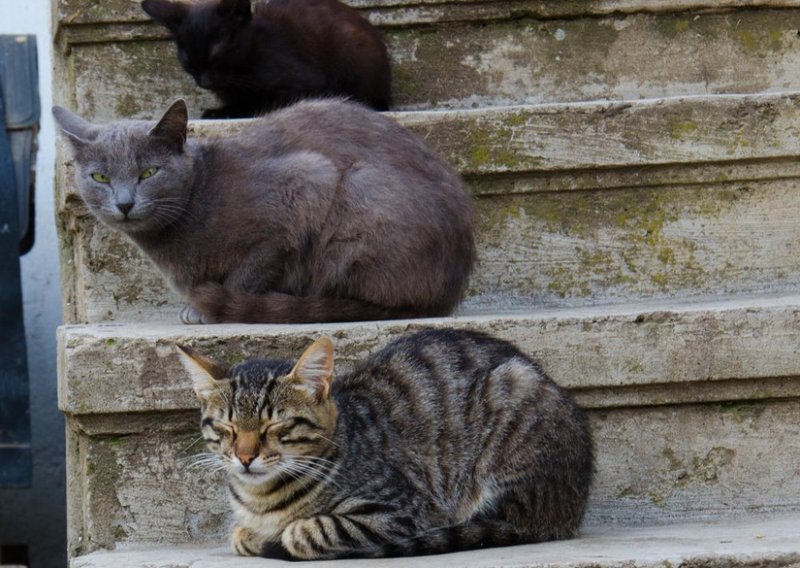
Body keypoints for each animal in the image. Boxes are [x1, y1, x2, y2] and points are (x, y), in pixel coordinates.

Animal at [53, 95, 476, 322]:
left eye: (148, 172)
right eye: (100, 177)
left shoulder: (304, 183)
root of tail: (450, 290)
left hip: (360, 194)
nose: (124, 203)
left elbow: (249, 272)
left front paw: (207, 308)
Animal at [177, 328, 592, 560]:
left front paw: (281, 534)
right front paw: (251, 532)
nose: (245, 457)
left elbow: (305, 530)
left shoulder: (399, 509)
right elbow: (240, 533)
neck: (262, 499)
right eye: (227, 427)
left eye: (276, 424)